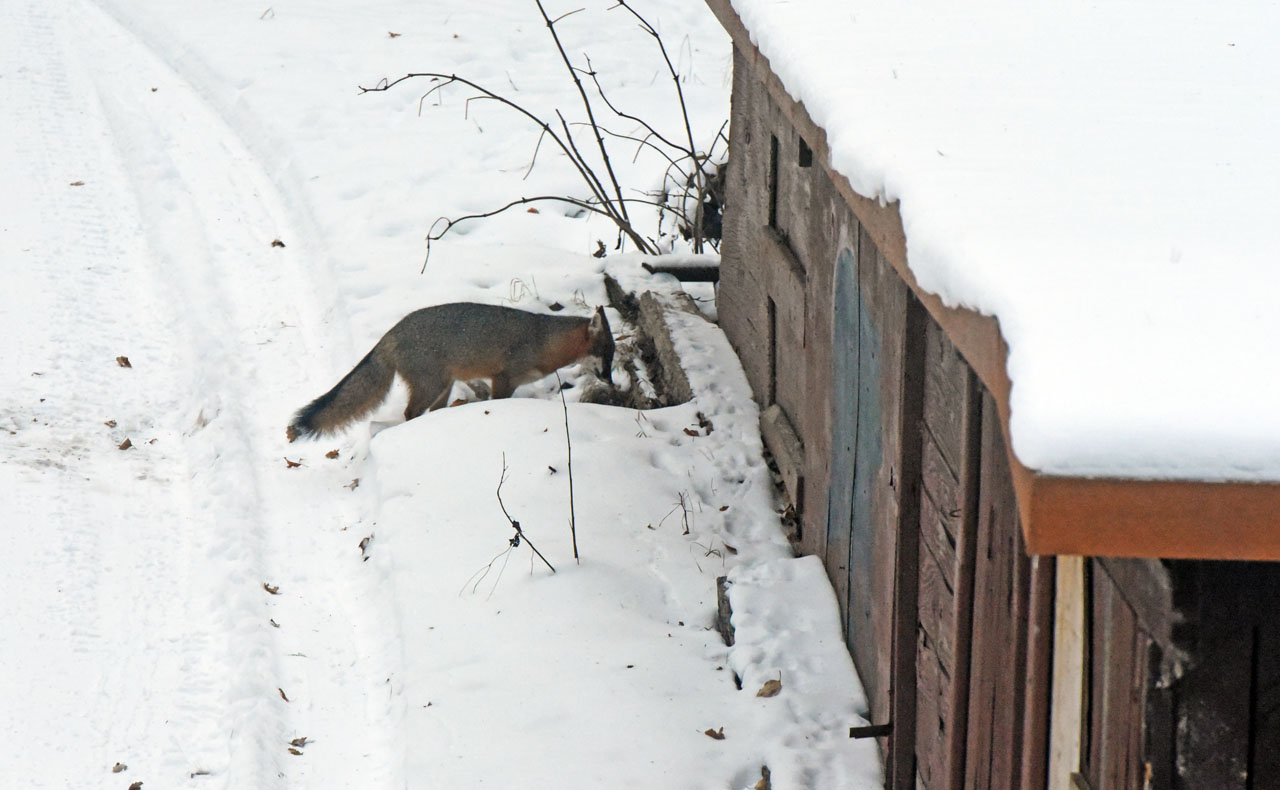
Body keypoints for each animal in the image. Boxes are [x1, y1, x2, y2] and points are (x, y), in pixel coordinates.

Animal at [286, 301, 614, 442]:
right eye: (606, 357)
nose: (611, 382)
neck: (542, 339)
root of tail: (390, 334)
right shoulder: (504, 378)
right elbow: (498, 401)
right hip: (431, 386)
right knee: (410, 413)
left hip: (442, 387)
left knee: (431, 411)